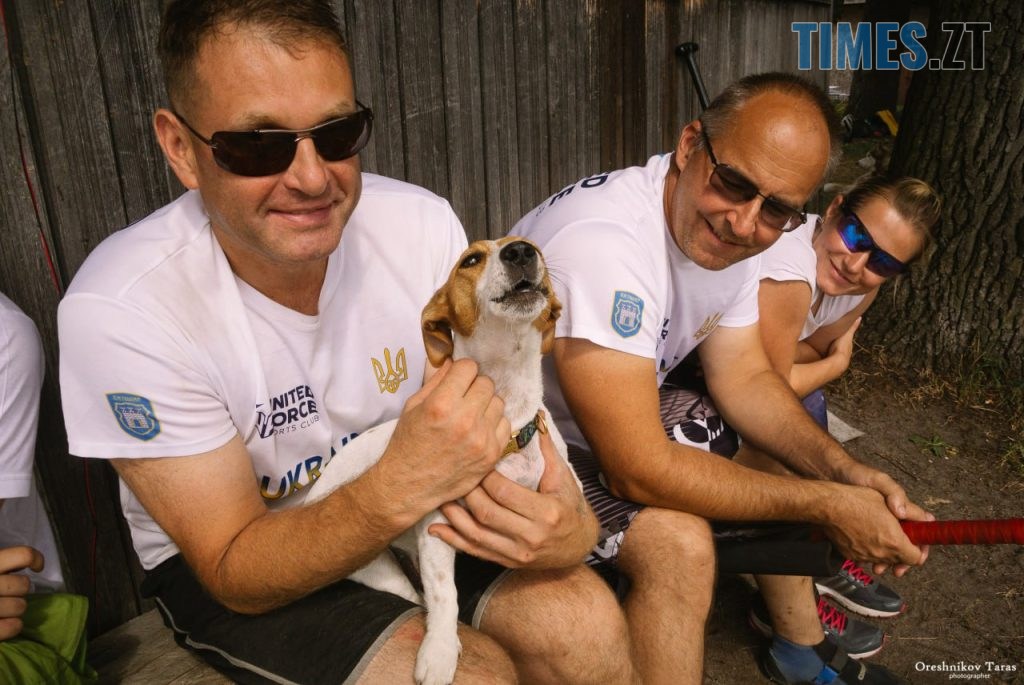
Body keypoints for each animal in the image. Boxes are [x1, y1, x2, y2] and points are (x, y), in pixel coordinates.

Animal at [297, 237, 576, 685]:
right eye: (471, 260)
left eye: (534, 248)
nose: (520, 251)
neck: (507, 416)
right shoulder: (437, 528)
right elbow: (446, 593)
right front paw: (441, 649)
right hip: (380, 572)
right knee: (418, 595)